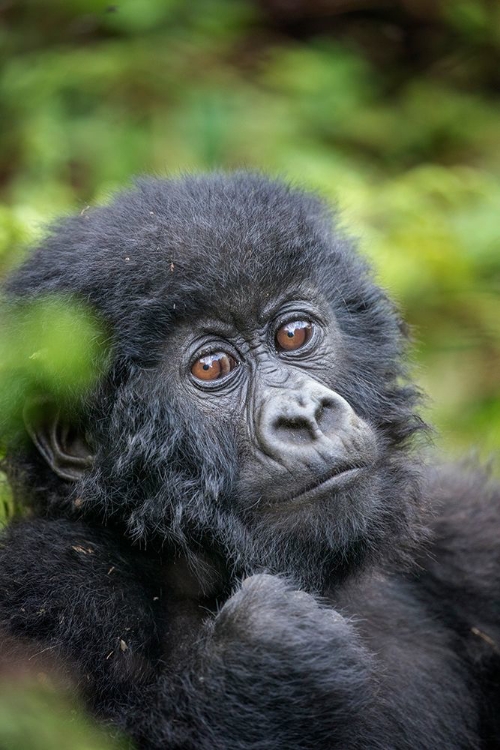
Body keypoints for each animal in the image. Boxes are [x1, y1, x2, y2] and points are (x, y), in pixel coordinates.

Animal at [0, 172, 500, 750]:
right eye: (212, 366)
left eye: (293, 333)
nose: (305, 415)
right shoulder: (45, 574)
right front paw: (267, 660)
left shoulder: (467, 518)